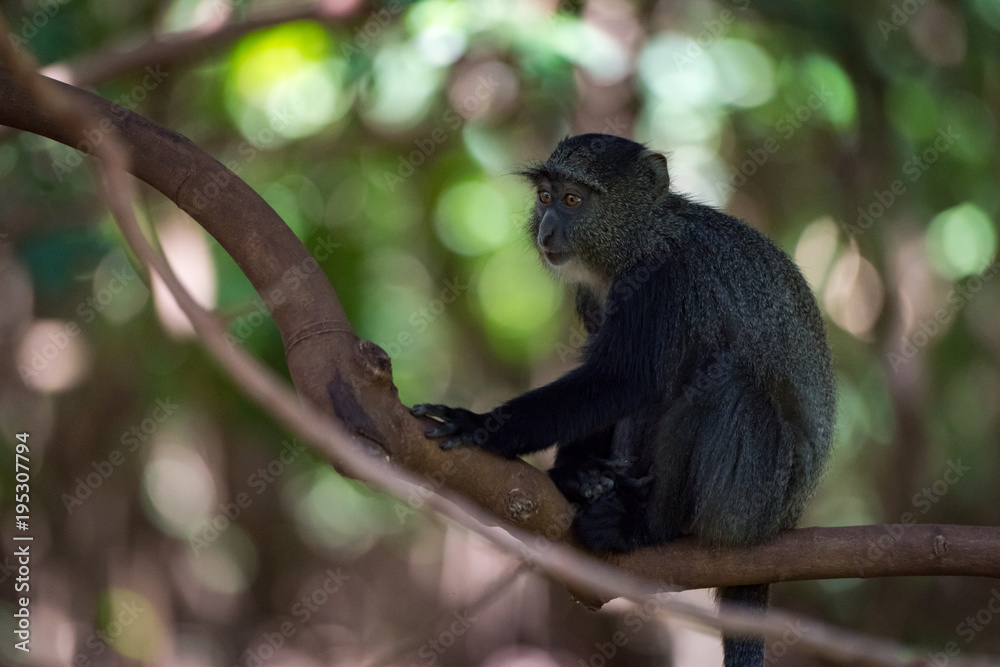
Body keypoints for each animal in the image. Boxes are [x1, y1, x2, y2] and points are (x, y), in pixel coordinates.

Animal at [411, 134, 836, 667]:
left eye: (574, 200)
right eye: (546, 197)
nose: (547, 229)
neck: (641, 238)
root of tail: (781, 523)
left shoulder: (661, 279)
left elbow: (622, 380)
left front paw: (478, 425)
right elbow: (605, 388)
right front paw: (574, 473)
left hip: (755, 496)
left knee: (724, 384)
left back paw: (648, 526)